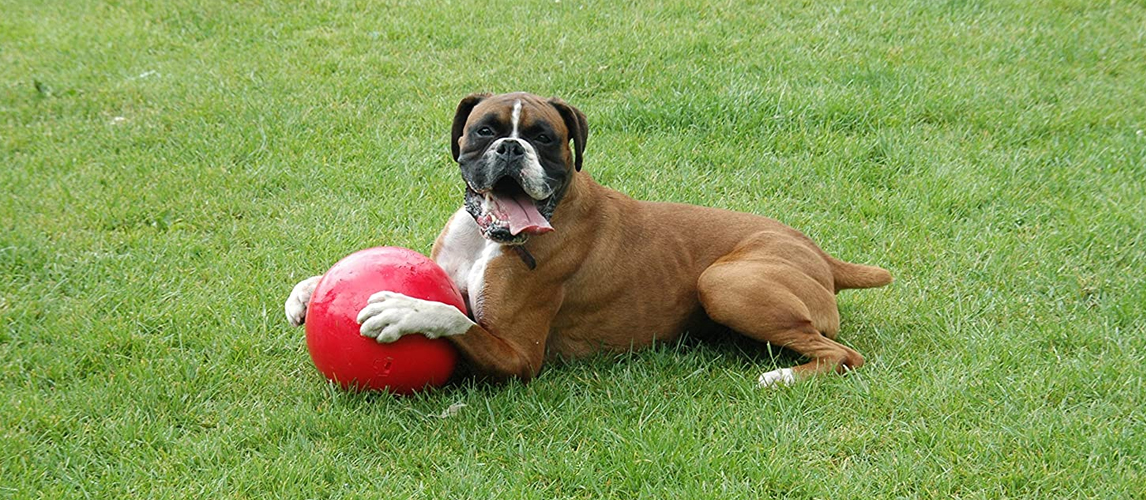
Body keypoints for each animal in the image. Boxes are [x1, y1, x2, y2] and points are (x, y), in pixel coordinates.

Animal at [281, 90, 889, 387]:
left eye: (546, 139)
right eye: (485, 130)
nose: (511, 148)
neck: (488, 237)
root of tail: (820, 254)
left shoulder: (519, 358)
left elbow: (452, 315)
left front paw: (405, 310)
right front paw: (311, 288)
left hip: (723, 282)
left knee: (843, 354)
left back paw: (782, 376)